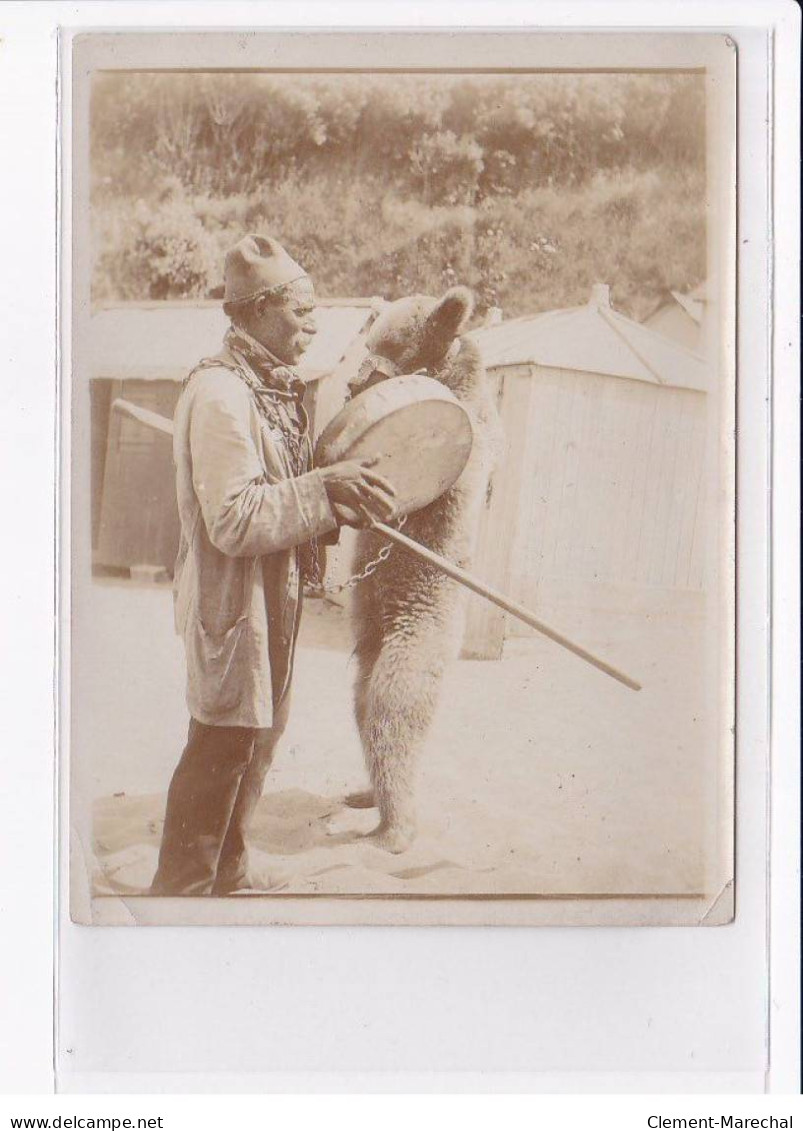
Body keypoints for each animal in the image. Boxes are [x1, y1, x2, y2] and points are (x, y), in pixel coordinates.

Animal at [341, 287, 502, 850]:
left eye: (383, 347)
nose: (350, 382)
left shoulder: (465, 451)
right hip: (372, 633)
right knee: (363, 702)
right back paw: (366, 796)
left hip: (423, 625)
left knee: (396, 706)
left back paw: (395, 829)